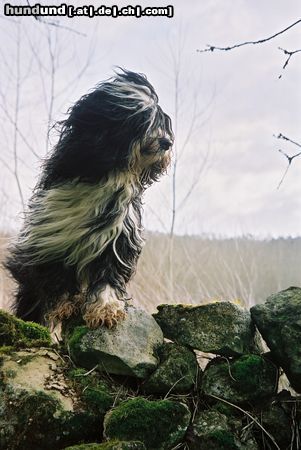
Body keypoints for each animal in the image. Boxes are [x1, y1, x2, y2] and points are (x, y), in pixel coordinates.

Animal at [5, 71, 172, 330]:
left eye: (161, 122)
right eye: (142, 119)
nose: (167, 143)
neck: (108, 173)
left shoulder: (118, 237)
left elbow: (108, 276)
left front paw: (106, 308)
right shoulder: (53, 237)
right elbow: (58, 276)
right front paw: (63, 303)